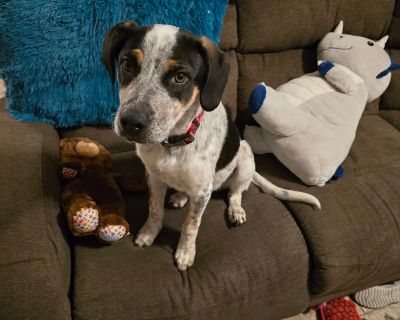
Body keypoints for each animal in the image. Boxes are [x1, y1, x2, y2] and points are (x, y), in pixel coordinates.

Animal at [101, 20, 320, 270]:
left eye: (180, 77)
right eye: (127, 64)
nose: (130, 122)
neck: (173, 144)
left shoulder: (202, 192)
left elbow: (190, 225)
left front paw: (185, 253)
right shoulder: (153, 177)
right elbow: (155, 209)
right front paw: (149, 233)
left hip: (245, 158)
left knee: (236, 192)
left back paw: (235, 209)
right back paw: (179, 196)